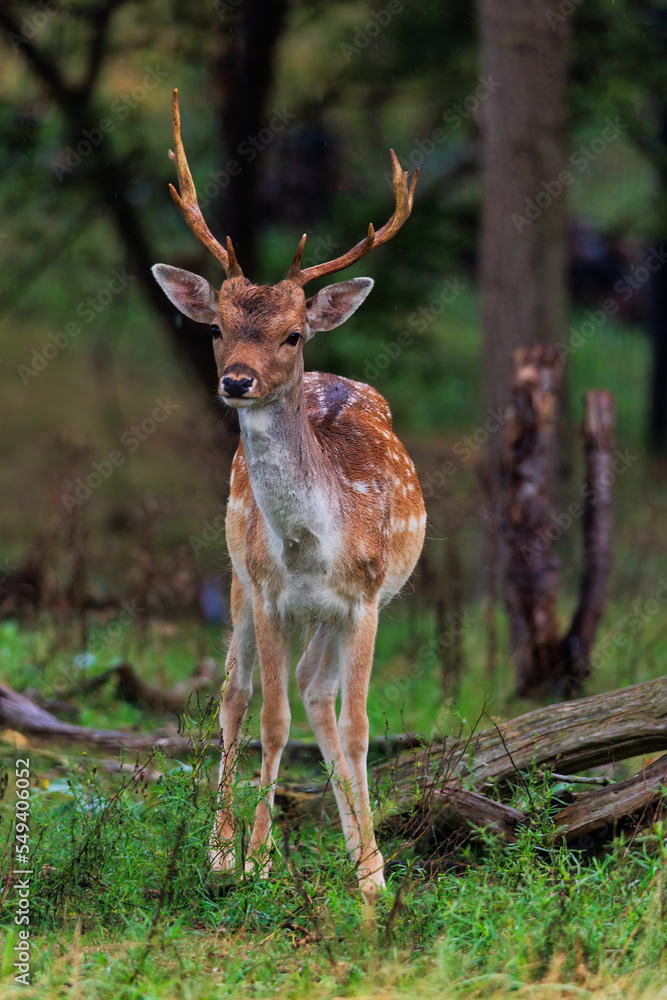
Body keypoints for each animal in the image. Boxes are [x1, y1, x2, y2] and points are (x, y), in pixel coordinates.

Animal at [152, 90, 425, 896]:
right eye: (215, 326)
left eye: (293, 334)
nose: (236, 380)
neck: (309, 546)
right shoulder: (270, 590)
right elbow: (269, 720)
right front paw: (255, 862)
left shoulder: (366, 599)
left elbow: (358, 725)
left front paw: (373, 877)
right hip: (238, 576)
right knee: (237, 695)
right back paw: (218, 850)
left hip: (330, 614)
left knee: (315, 693)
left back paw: (353, 851)